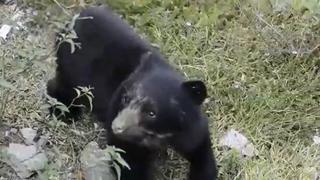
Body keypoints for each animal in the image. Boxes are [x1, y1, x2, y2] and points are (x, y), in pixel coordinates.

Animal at [46, 4, 218, 179]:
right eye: (125, 99)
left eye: (152, 113)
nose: (117, 127)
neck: (158, 135)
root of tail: (72, 21)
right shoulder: (123, 129)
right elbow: (128, 161)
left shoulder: (189, 128)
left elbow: (199, 147)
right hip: (71, 70)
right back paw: (65, 112)